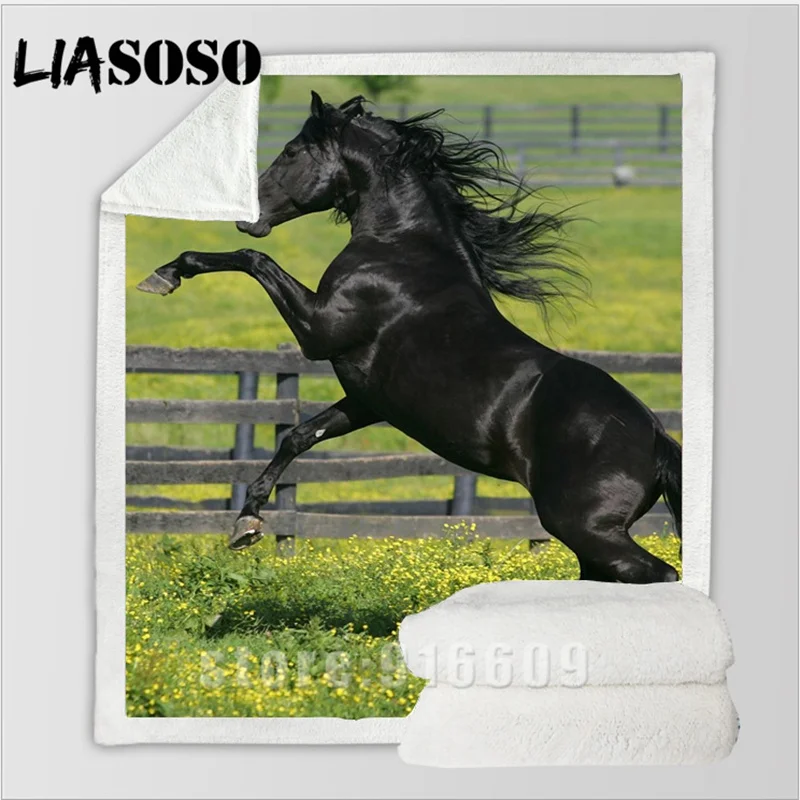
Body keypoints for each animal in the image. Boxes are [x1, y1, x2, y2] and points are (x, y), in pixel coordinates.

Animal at [137, 91, 682, 583]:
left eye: (291, 151)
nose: (245, 216)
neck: (401, 248)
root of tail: (656, 438)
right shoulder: (367, 400)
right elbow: (298, 435)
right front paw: (247, 521)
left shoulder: (320, 330)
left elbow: (254, 261)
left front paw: (167, 273)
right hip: (589, 540)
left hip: (584, 526)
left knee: (661, 574)